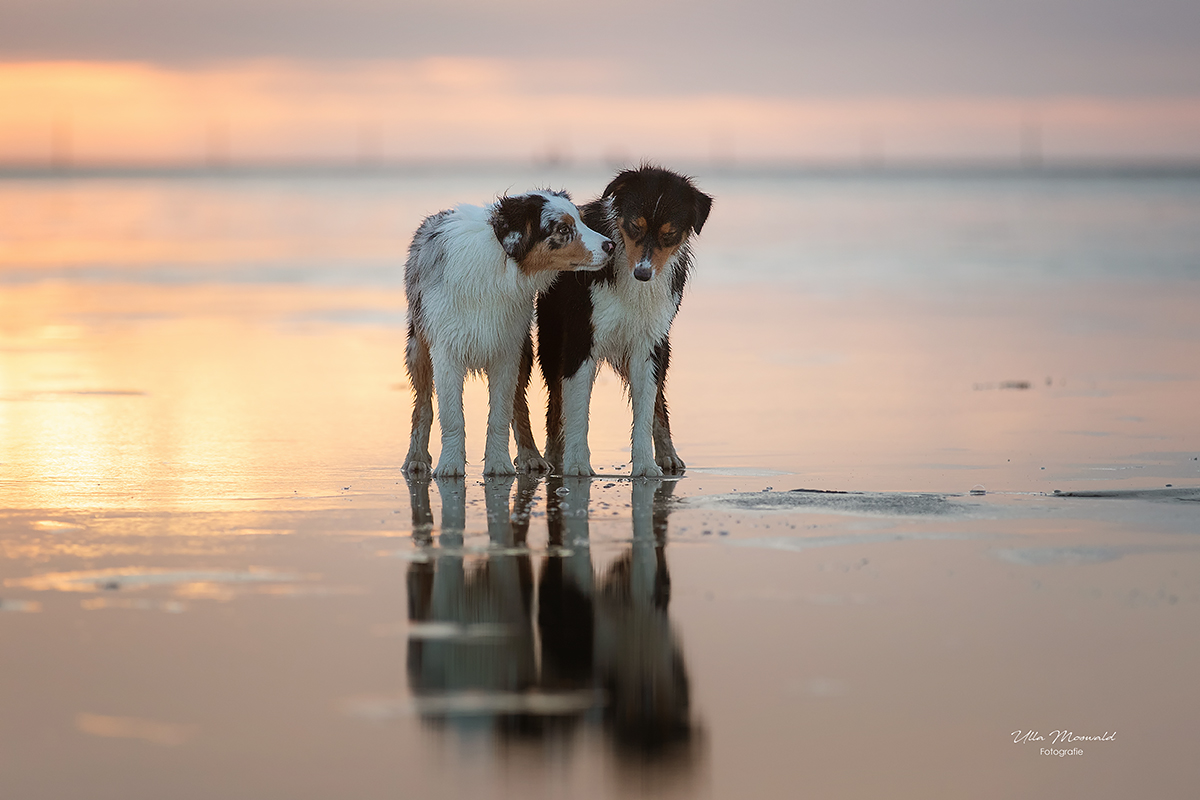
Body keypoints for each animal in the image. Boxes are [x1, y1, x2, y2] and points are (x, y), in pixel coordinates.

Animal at [403, 189, 614, 474]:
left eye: (581, 220)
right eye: (563, 228)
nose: (611, 246)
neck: (499, 263)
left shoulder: (507, 348)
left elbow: (502, 412)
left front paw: (499, 464)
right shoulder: (446, 350)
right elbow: (451, 416)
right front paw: (450, 466)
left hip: (523, 349)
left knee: (519, 405)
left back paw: (531, 456)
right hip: (419, 346)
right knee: (423, 405)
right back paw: (415, 458)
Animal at [528, 164, 710, 474]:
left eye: (669, 234)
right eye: (635, 226)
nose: (643, 274)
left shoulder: (648, 343)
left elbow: (646, 407)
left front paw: (646, 466)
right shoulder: (581, 336)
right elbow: (576, 408)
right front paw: (577, 465)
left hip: (663, 349)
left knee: (659, 401)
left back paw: (668, 455)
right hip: (551, 341)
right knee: (555, 401)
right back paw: (554, 457)